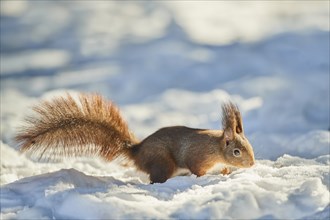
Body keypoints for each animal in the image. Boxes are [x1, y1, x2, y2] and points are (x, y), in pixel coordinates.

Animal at [15, 93, 255, 183]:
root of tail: (137, 151)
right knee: (156, 178)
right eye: (236, 151)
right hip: (163, 163)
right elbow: (197, 169)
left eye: (249, 146)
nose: (252, 164)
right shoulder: (198, 156)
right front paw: (207, 177)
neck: (216, 148)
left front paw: (225, 172)